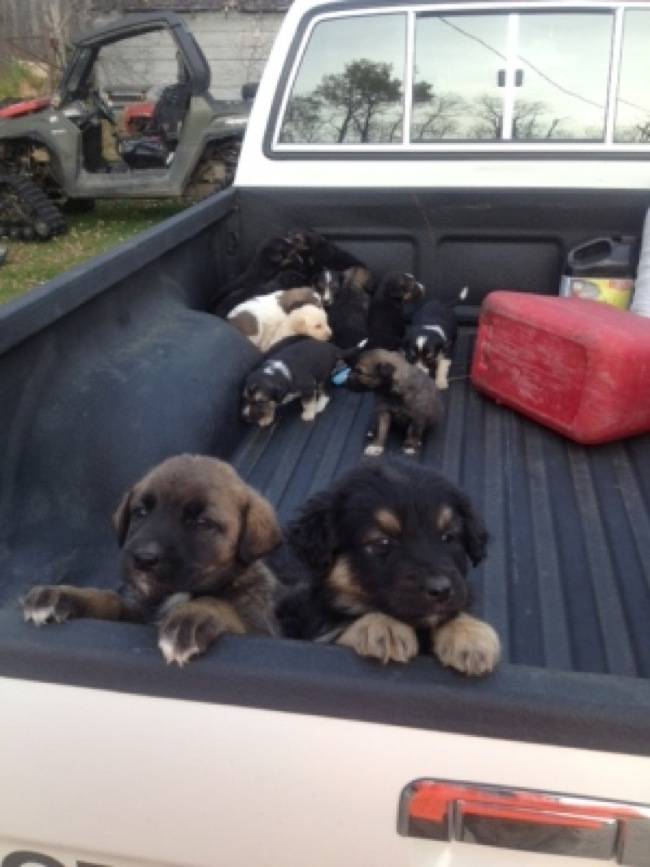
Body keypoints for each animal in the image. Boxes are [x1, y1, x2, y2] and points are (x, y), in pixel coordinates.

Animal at [22, 458, 280, 668]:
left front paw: (190, 617)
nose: (144, 559)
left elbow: (219, 604)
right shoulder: (137, 615)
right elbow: (110, 598)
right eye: (140, 512)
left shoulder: (260, 631)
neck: (175, 595)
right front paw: (64, 593)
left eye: (203, 522)